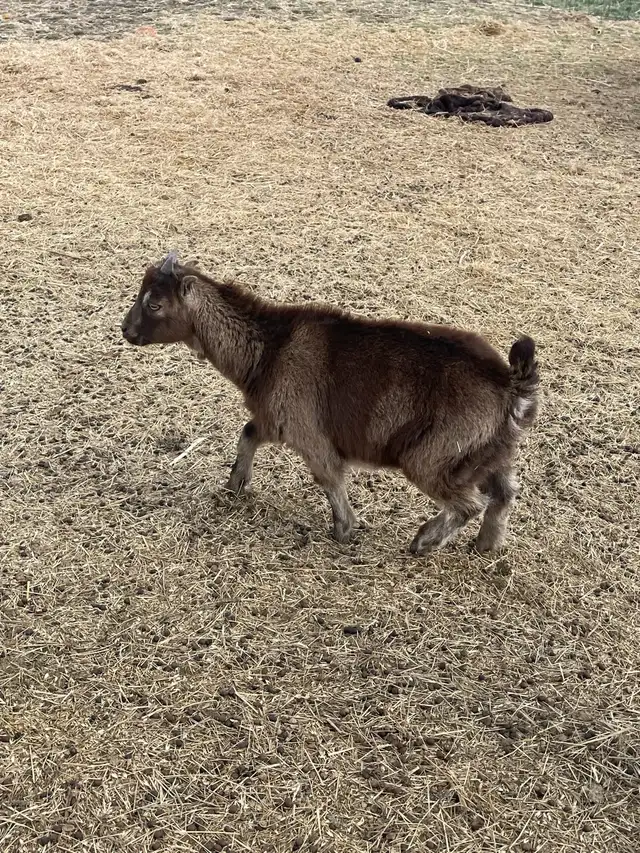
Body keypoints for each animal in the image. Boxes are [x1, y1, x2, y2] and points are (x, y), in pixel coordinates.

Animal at [121, 252, 539, 554]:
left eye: (154, 305)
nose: (125, 330)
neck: (270, 348)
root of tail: (511, 385)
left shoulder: (309, 434)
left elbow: (328, 476)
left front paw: (343, 530)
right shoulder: (275, 418)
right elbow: (248, 434)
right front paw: (235, 484)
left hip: (433, 458)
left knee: (469, 504)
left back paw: (424, 542)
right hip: (488, 453)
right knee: (504, 494)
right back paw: (486, 546)